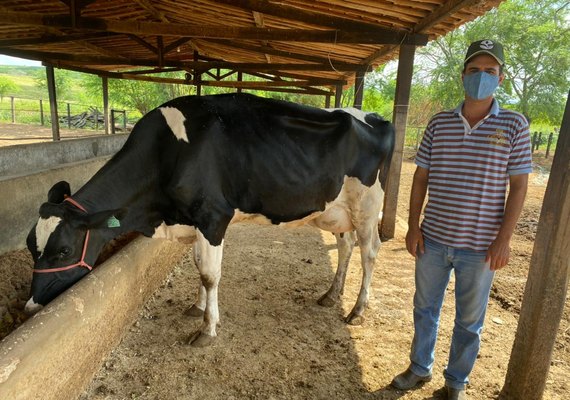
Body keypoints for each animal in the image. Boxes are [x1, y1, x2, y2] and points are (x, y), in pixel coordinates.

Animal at [24, 94, 392, 346]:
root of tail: (374, 116)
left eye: (64, 250)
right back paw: (331, 295)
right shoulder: (192, 222)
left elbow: (210, 274)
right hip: (337, 212)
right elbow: (198, 266)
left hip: (368, 205)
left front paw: (207, 328)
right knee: (345, 247)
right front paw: (197, 307)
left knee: (369, 252)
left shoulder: (213, 217)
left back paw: (357, 310)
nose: (29, 306)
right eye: (31, 247)